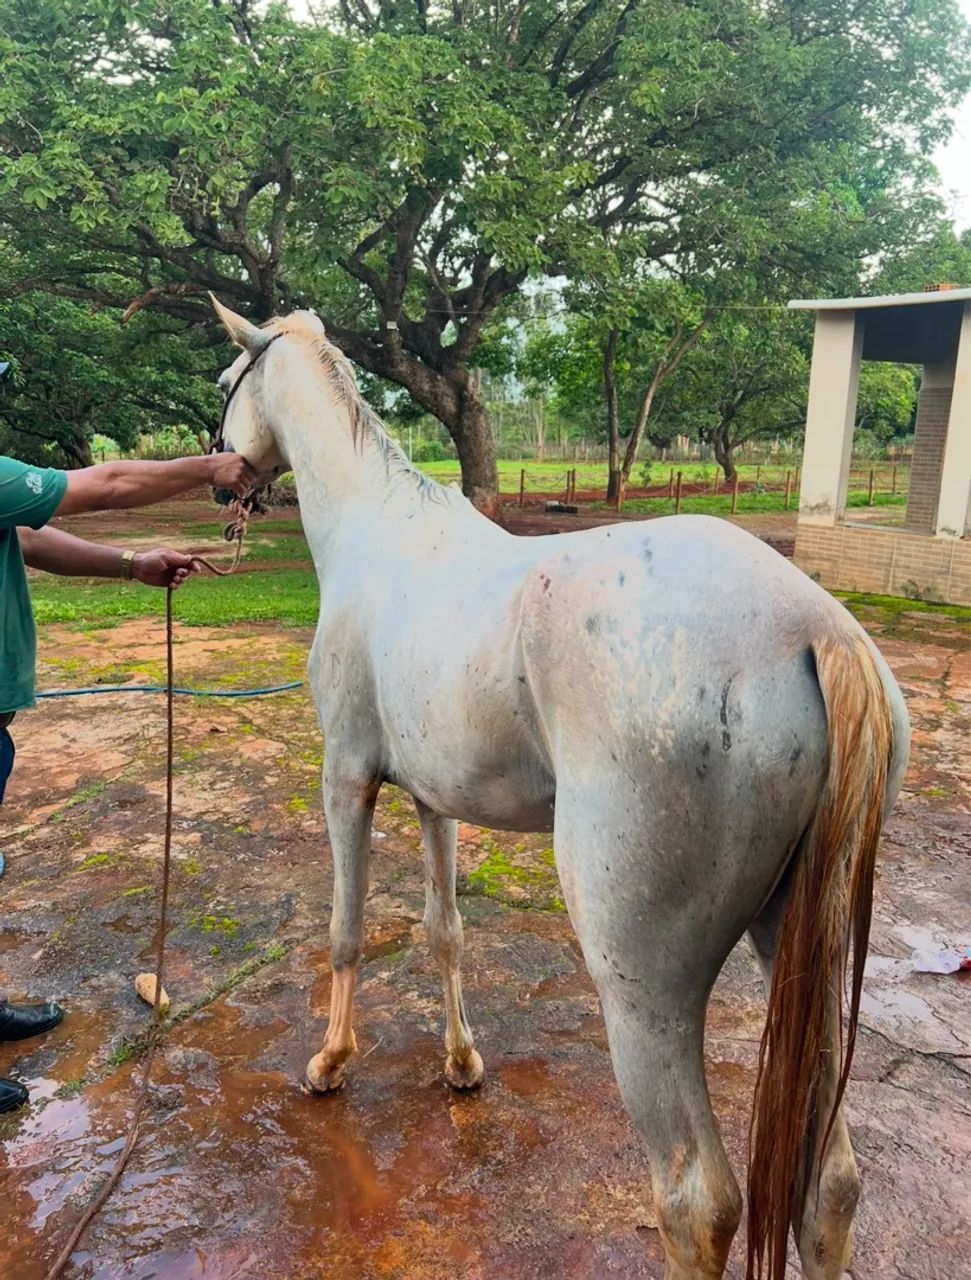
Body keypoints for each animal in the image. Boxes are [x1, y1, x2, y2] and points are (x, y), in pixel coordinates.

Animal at [210, 299, 910, 1280]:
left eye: (225, 383)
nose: (220, 481)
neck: (380, 536)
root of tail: (813, 630)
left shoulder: (345, 778)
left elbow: (345, 931)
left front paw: (330, 1064)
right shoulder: (432, 797)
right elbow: (444, 931)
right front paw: (461, 1064)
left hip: (642, 985)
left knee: (697, 1201)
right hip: (803, 950)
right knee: (831, 1184)